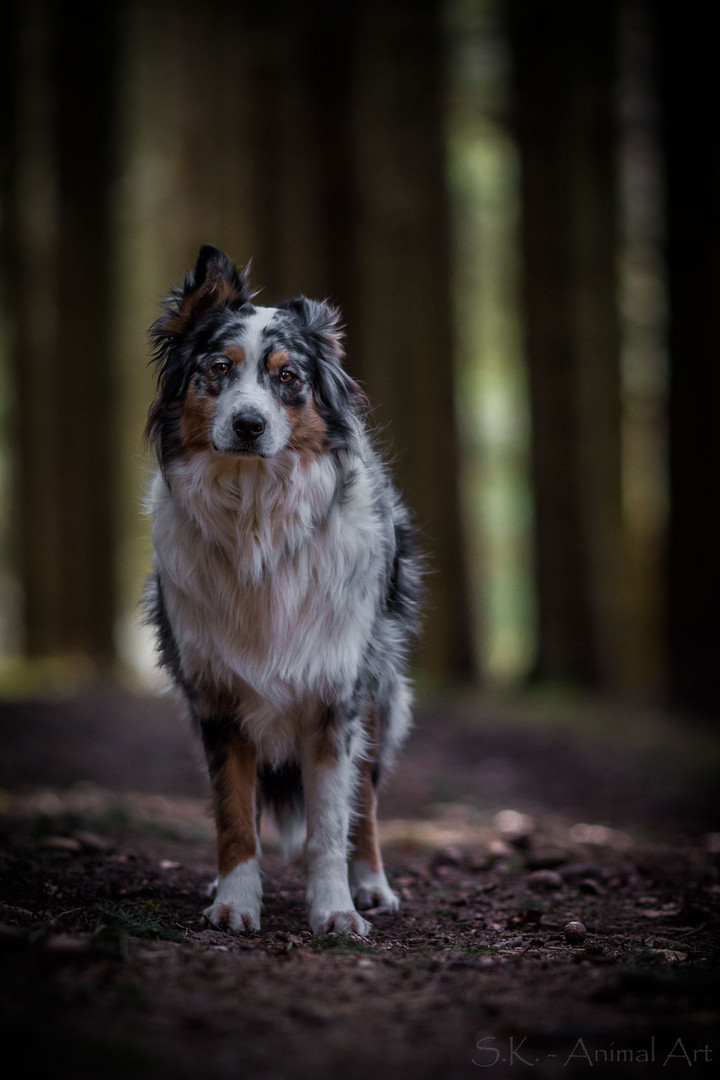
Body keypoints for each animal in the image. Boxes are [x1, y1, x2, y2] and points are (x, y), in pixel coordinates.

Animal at [144, 245, 423, 937]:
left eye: (288, 377)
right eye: (218, 368)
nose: (249, 424)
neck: (257, 520)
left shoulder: (336, 691)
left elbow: (330, 820)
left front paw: (336, 909)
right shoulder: (216, 694)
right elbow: (233, 811)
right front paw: (235, 901)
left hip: (379, 688)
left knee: (366, 802)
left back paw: (371, 884)